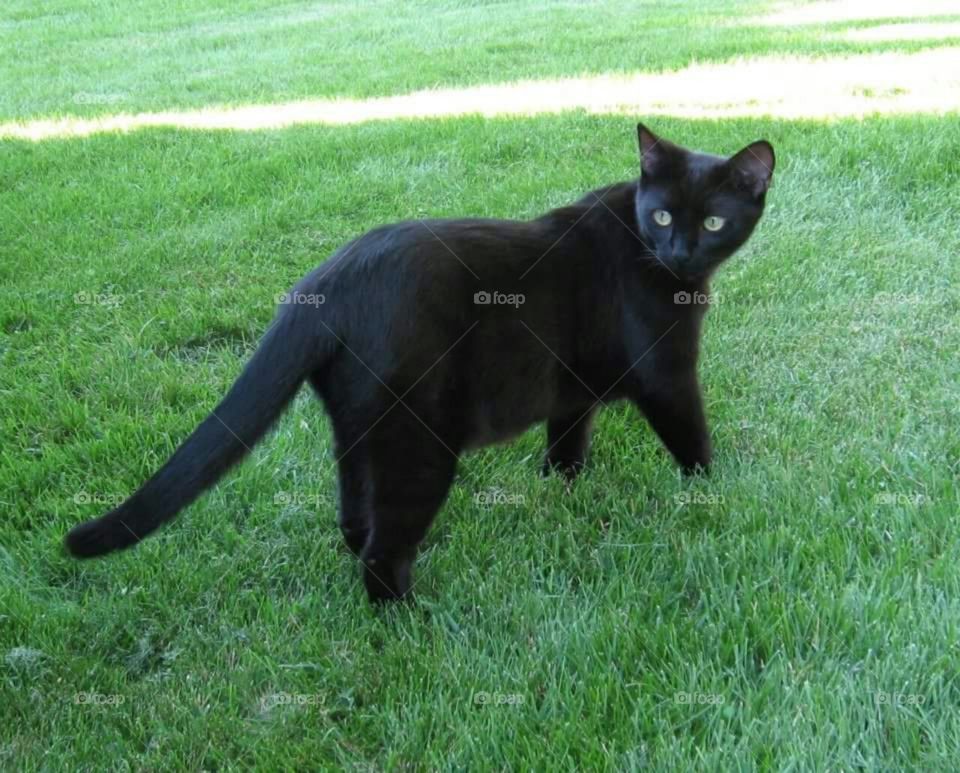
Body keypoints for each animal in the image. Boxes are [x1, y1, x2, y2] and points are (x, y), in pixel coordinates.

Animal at [65, 122, 772, 604]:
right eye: (663, 215)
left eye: (712, 222)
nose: (680, 252)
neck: (643, 244)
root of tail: (326, 283)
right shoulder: (668, 373)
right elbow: (691, 438)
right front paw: (712, 493)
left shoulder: (571, 389)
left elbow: (569, 433)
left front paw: (560, 485)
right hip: (420, 442)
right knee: (384, 549)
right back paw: (409, 621)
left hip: (358, 427)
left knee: (356, 516)